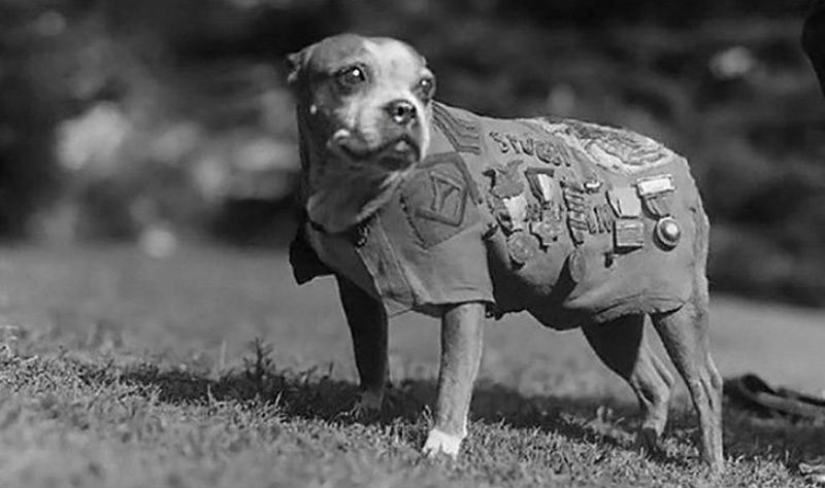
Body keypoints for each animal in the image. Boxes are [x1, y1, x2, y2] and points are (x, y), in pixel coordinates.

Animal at [288, 31, 720, 472]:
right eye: (352, 75)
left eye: (426, 86)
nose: (404, 109)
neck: (364, 190)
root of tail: (677, 162)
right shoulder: (357, 295)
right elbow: (370, 356)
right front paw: (365, 411)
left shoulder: (464, 298)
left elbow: (453, 377)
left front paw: (442, 444)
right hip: (608, 318)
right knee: (656, 381)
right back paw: (645, 443)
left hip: (679, 310)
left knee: (705, 382)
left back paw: (710, 462)